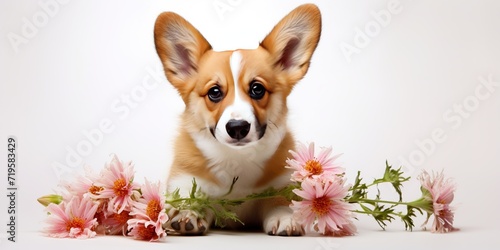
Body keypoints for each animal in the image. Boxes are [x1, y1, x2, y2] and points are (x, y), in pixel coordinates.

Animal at [154, 3, 322, 234]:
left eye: (257, 89)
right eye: (214, 92)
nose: (237, 127)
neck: (236, 157)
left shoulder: (281, 185)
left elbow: (279, 202)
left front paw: (285, 218)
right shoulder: (186, 181)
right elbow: (194, 200)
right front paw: (189, 213)